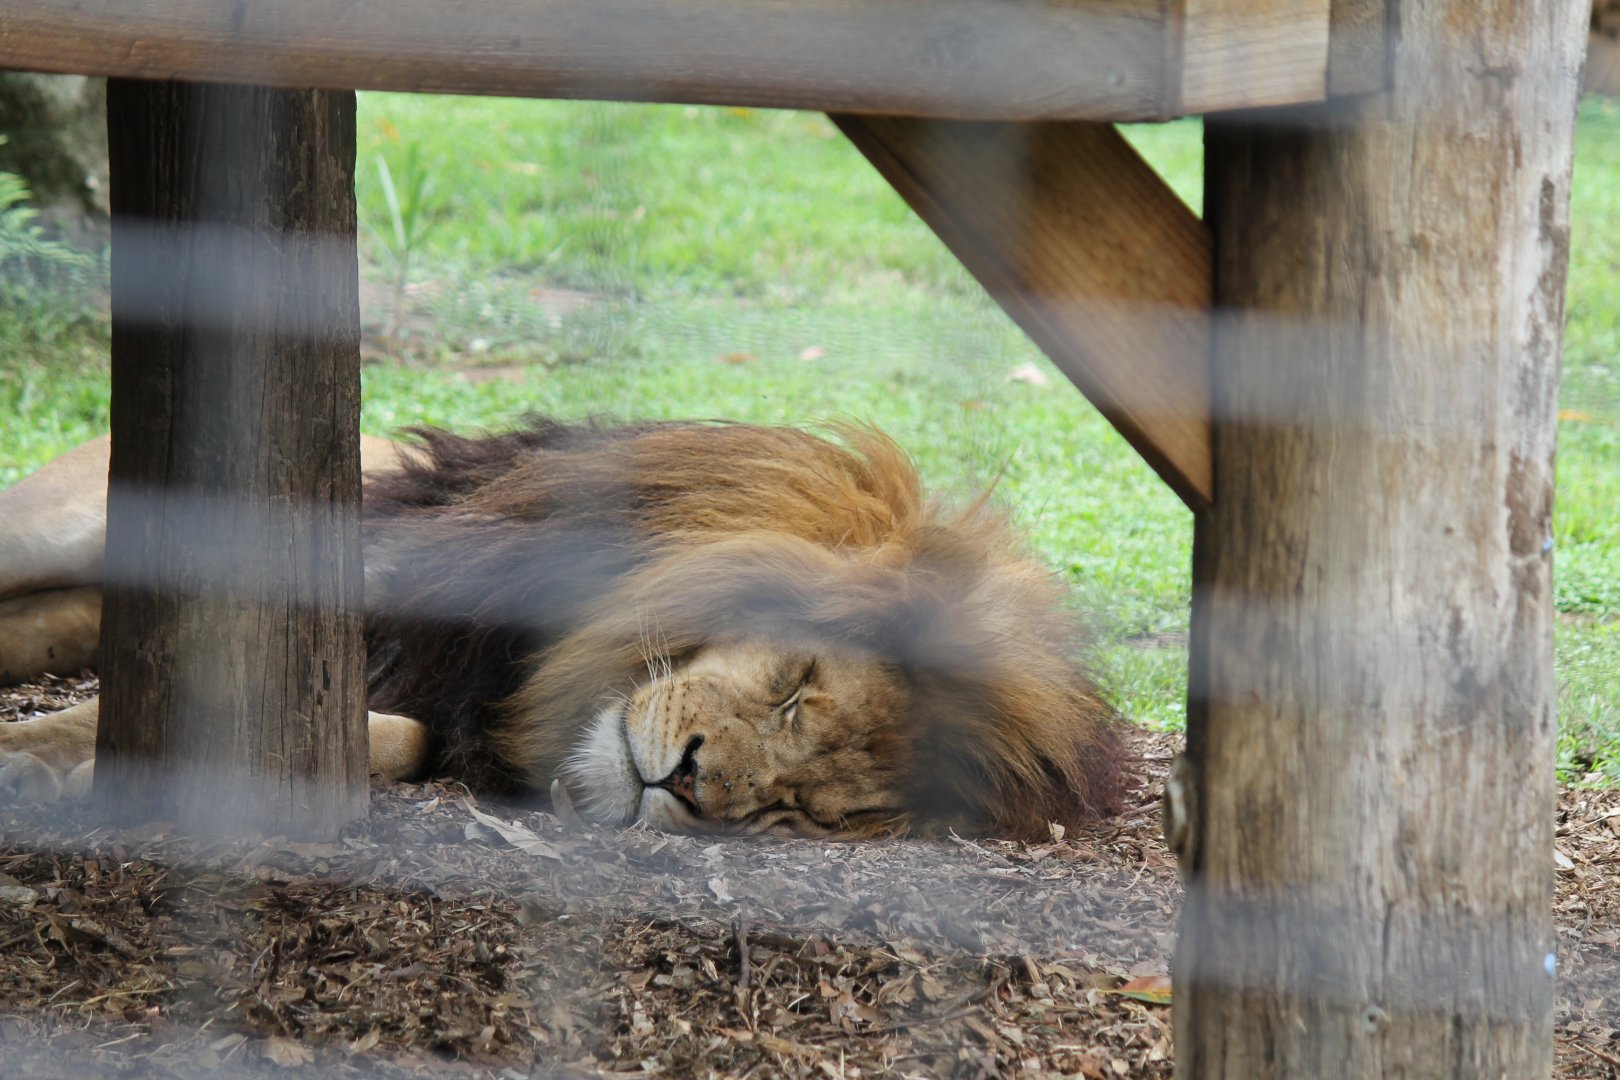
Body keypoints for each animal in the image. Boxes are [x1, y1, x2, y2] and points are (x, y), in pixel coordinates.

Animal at [0, 418, 1131, 838]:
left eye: (804, 810)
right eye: (795, 686)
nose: (688, 783)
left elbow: (393, 736)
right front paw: (36, 760)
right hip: (64, 522)